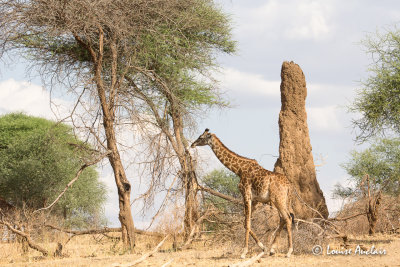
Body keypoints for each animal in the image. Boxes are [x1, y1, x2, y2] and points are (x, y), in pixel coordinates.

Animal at [191, 130, 294, 260]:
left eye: (201, 137)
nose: (192, 144)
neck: (238, 169)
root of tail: (289, 185)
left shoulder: (246, 194)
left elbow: (247, 223)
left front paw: (244, 252)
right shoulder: (255, 199)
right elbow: (245, 222)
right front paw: (263, 247)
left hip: (278, 199)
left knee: (287, 218)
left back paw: (289, 251)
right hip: (283, 200)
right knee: (283, 218)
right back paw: (272, 250)